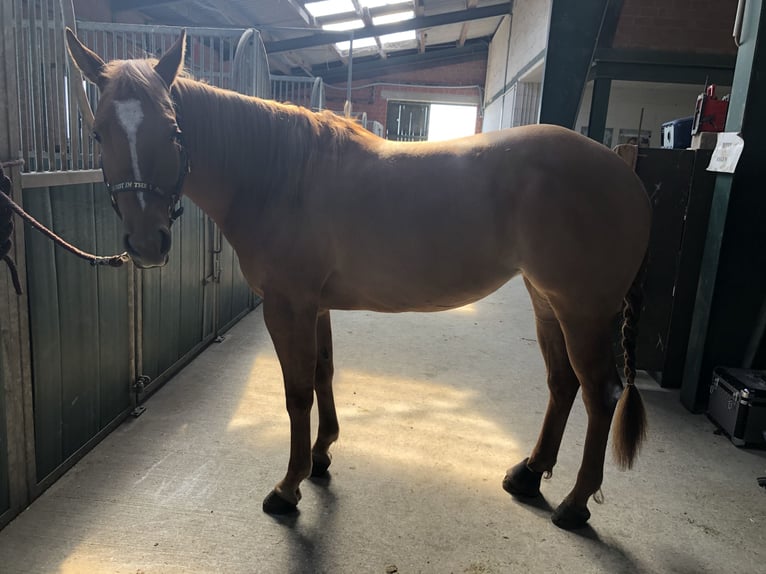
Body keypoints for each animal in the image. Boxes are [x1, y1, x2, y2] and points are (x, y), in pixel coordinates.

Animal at [65, 28, 651, 530]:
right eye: (98, 132)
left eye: (173, 130)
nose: (148, 243)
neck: (280, 175)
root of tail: (625, 173)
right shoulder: (316, 306)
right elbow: (324, 374)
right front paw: (321, 455)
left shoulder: (288, 306)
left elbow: (296, 392)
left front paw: (288, 487)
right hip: (546, 299)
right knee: (563, 383)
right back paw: (528, 475)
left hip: (581, 309)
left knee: (600, 394)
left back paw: (575, 503)